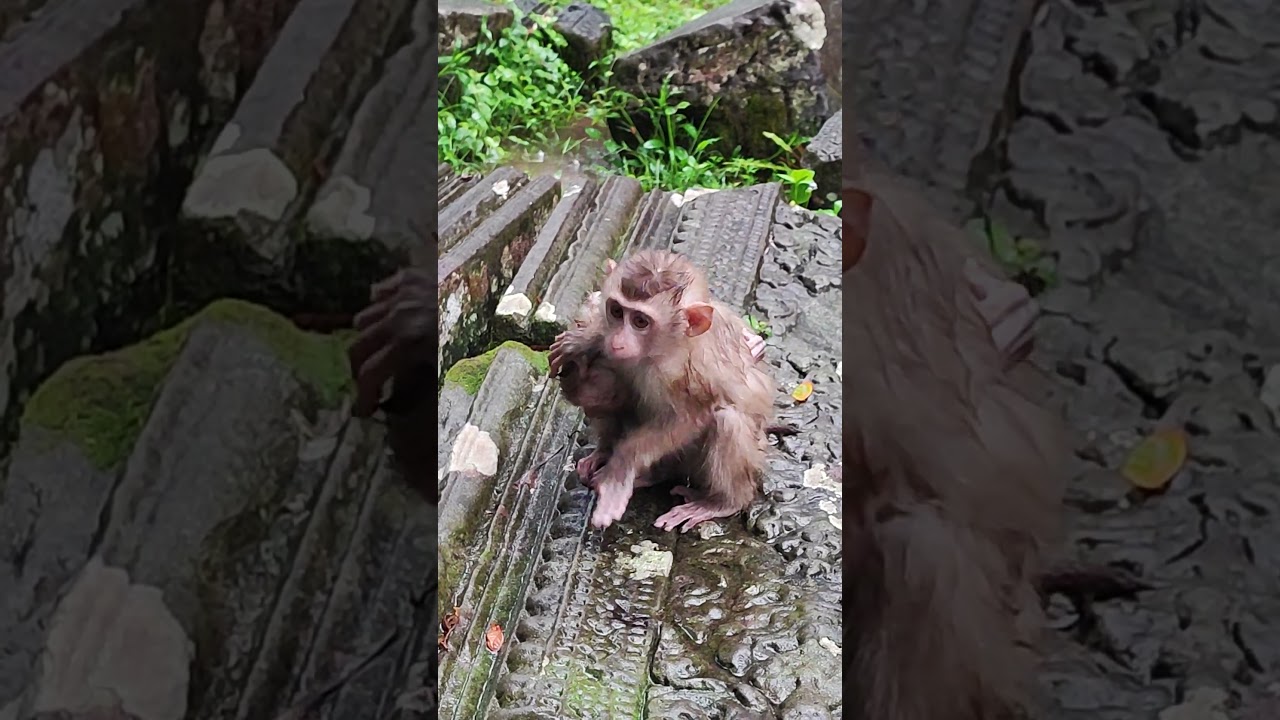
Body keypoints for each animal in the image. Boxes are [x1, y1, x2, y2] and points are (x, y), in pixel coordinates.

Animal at [547, 250, 775, 532]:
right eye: (616, 311)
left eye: (640, 321)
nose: (617, 342)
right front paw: (581, 340)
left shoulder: (690, 371)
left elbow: (687, 419)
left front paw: (619, 472)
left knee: (728, 421)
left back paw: (722, 502)